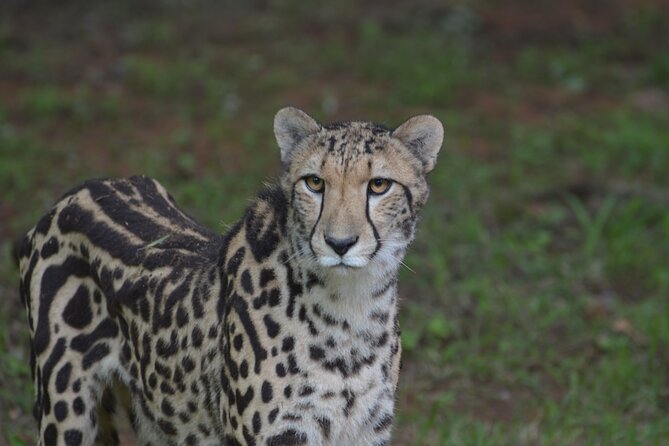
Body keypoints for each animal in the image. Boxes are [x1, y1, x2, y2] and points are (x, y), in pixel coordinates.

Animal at [18, 106, 443, 446]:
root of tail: (82, 189)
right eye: (314, 182)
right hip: (65, 413)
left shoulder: (366, 433)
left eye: (379, 185)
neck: (350, 308)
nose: (340, 243)